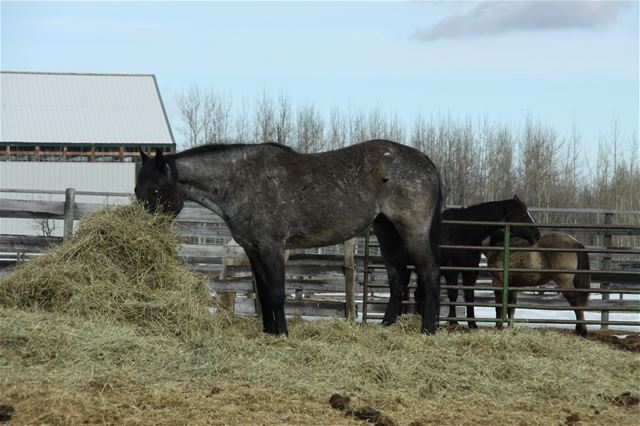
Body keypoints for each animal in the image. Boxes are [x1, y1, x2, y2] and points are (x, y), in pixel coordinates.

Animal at [135, 141, 442, 334]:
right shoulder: (253, 250)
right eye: (138, 189)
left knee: (429, 274)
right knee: (398, 276)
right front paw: (268, 332)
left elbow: (277, 293)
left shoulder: (272, 248)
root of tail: (425, 162)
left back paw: (427, 330)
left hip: (412, 231)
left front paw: (282, 333)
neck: (240, 180)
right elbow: (263, 294)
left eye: (154, 190)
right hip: (385, 229)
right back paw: (386, 327)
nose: (144, 226)